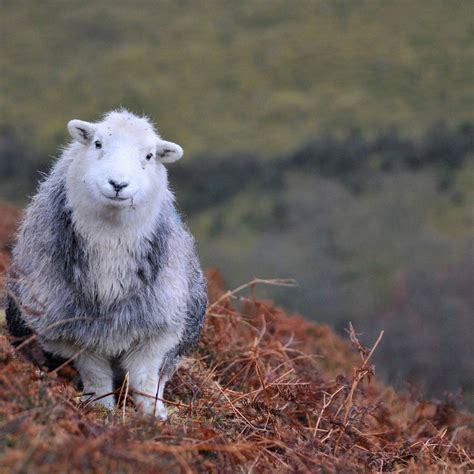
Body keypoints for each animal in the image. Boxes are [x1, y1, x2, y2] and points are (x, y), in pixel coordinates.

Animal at [4, 108, 207, 418]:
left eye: (149, 155)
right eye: (98, 143)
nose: (118, 184)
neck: (111, 248)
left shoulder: (155, 329)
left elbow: (146, 379)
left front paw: (154, 418)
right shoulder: (73, 334)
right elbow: (96, 376)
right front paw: (102, 410)